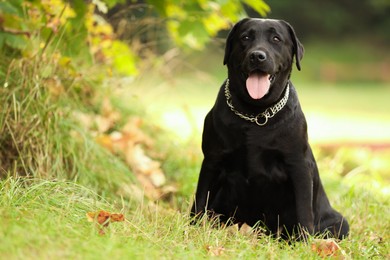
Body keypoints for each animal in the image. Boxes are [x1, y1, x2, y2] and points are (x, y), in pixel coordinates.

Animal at [190, 18, 348, 240]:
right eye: (245, 37)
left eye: (276, 39)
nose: (257, 56)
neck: (255, 114)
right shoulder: (212, 160)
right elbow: (200, 199)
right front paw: (191, 229)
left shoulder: (298, 165)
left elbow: (304, 210)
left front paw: (304, 242)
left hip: (340, 223)